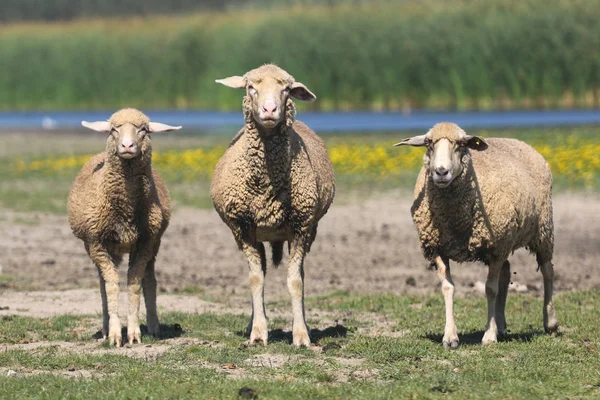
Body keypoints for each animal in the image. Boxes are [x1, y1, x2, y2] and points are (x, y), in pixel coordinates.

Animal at [67, 108, 180, 346]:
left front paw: (134, 333)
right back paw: (105, 327)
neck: (125, 209)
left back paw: (154, 326)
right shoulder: (97, 244)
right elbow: (110, 286)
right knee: (102, 284)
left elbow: (135, 283)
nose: (127, 146)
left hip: (153, 244)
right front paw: (115, 333)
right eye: (113, 129)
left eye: (144, 129)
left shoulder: (145, 243)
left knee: (150, 281)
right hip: (98, 248)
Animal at [211, 64, 336, 346]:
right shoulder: (243, 228)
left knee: (299, 273)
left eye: (286, 89)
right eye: (250, 87)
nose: (270, 109)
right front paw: (258, 333)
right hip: (254, 234)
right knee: (262, 271)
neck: (267, 187)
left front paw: (301, 335)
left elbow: (296, 282)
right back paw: (254, 323)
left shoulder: (301, 226)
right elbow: (255, 279)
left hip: (306, 231)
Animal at [394, 122, 556, 346]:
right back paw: (501, 325)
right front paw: (450, 336)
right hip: (504, 242)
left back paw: (550, 323)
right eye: (429, 143)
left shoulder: (496, 248)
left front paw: (488, 336)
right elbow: (448, 287)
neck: (455, 222)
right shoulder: (438, 248)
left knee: (547, 271)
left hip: (542, 230)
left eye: (461, 144)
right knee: (506, 273)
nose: (441, 172)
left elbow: (490, 289)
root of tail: (521, 143)